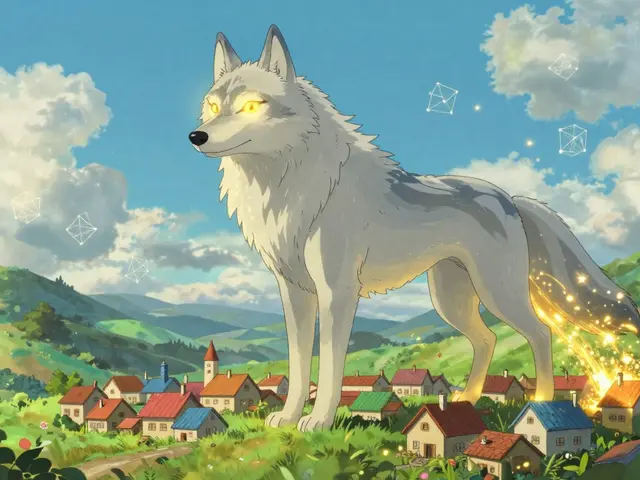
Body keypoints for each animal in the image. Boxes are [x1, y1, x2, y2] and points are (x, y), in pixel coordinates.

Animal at [189, 25, 640, 431]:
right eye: (212, 106)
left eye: (251, 106)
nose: (196, 136)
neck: (295, 186)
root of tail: (509, 198)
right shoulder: (295, 294)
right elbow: (300, 365)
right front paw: (286, 418)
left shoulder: (337, 293)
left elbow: (331, 366)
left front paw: (317, 422)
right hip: (451, 301)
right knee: (487, 340)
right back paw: (466, 399)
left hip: (498, 295)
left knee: (541, 333)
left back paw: (542, 403)